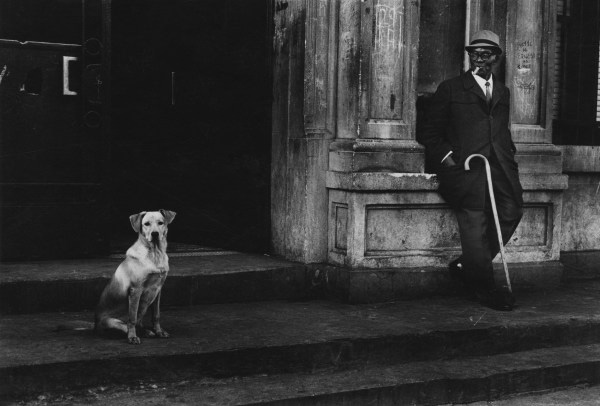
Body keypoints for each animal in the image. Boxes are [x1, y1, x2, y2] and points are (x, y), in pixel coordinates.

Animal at [95, 209, 176, 346]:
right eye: (146, 224)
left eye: (160, 223)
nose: (155, 234)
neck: (155, 253)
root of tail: (94, 327)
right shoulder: (135, 290)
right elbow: (132, 318)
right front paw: (132, 337)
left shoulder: (158, 289)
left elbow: (156, 315)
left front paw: (159, 331)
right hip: (111, 321)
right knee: (127, 325)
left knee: (139, 323)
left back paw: (146, 331)